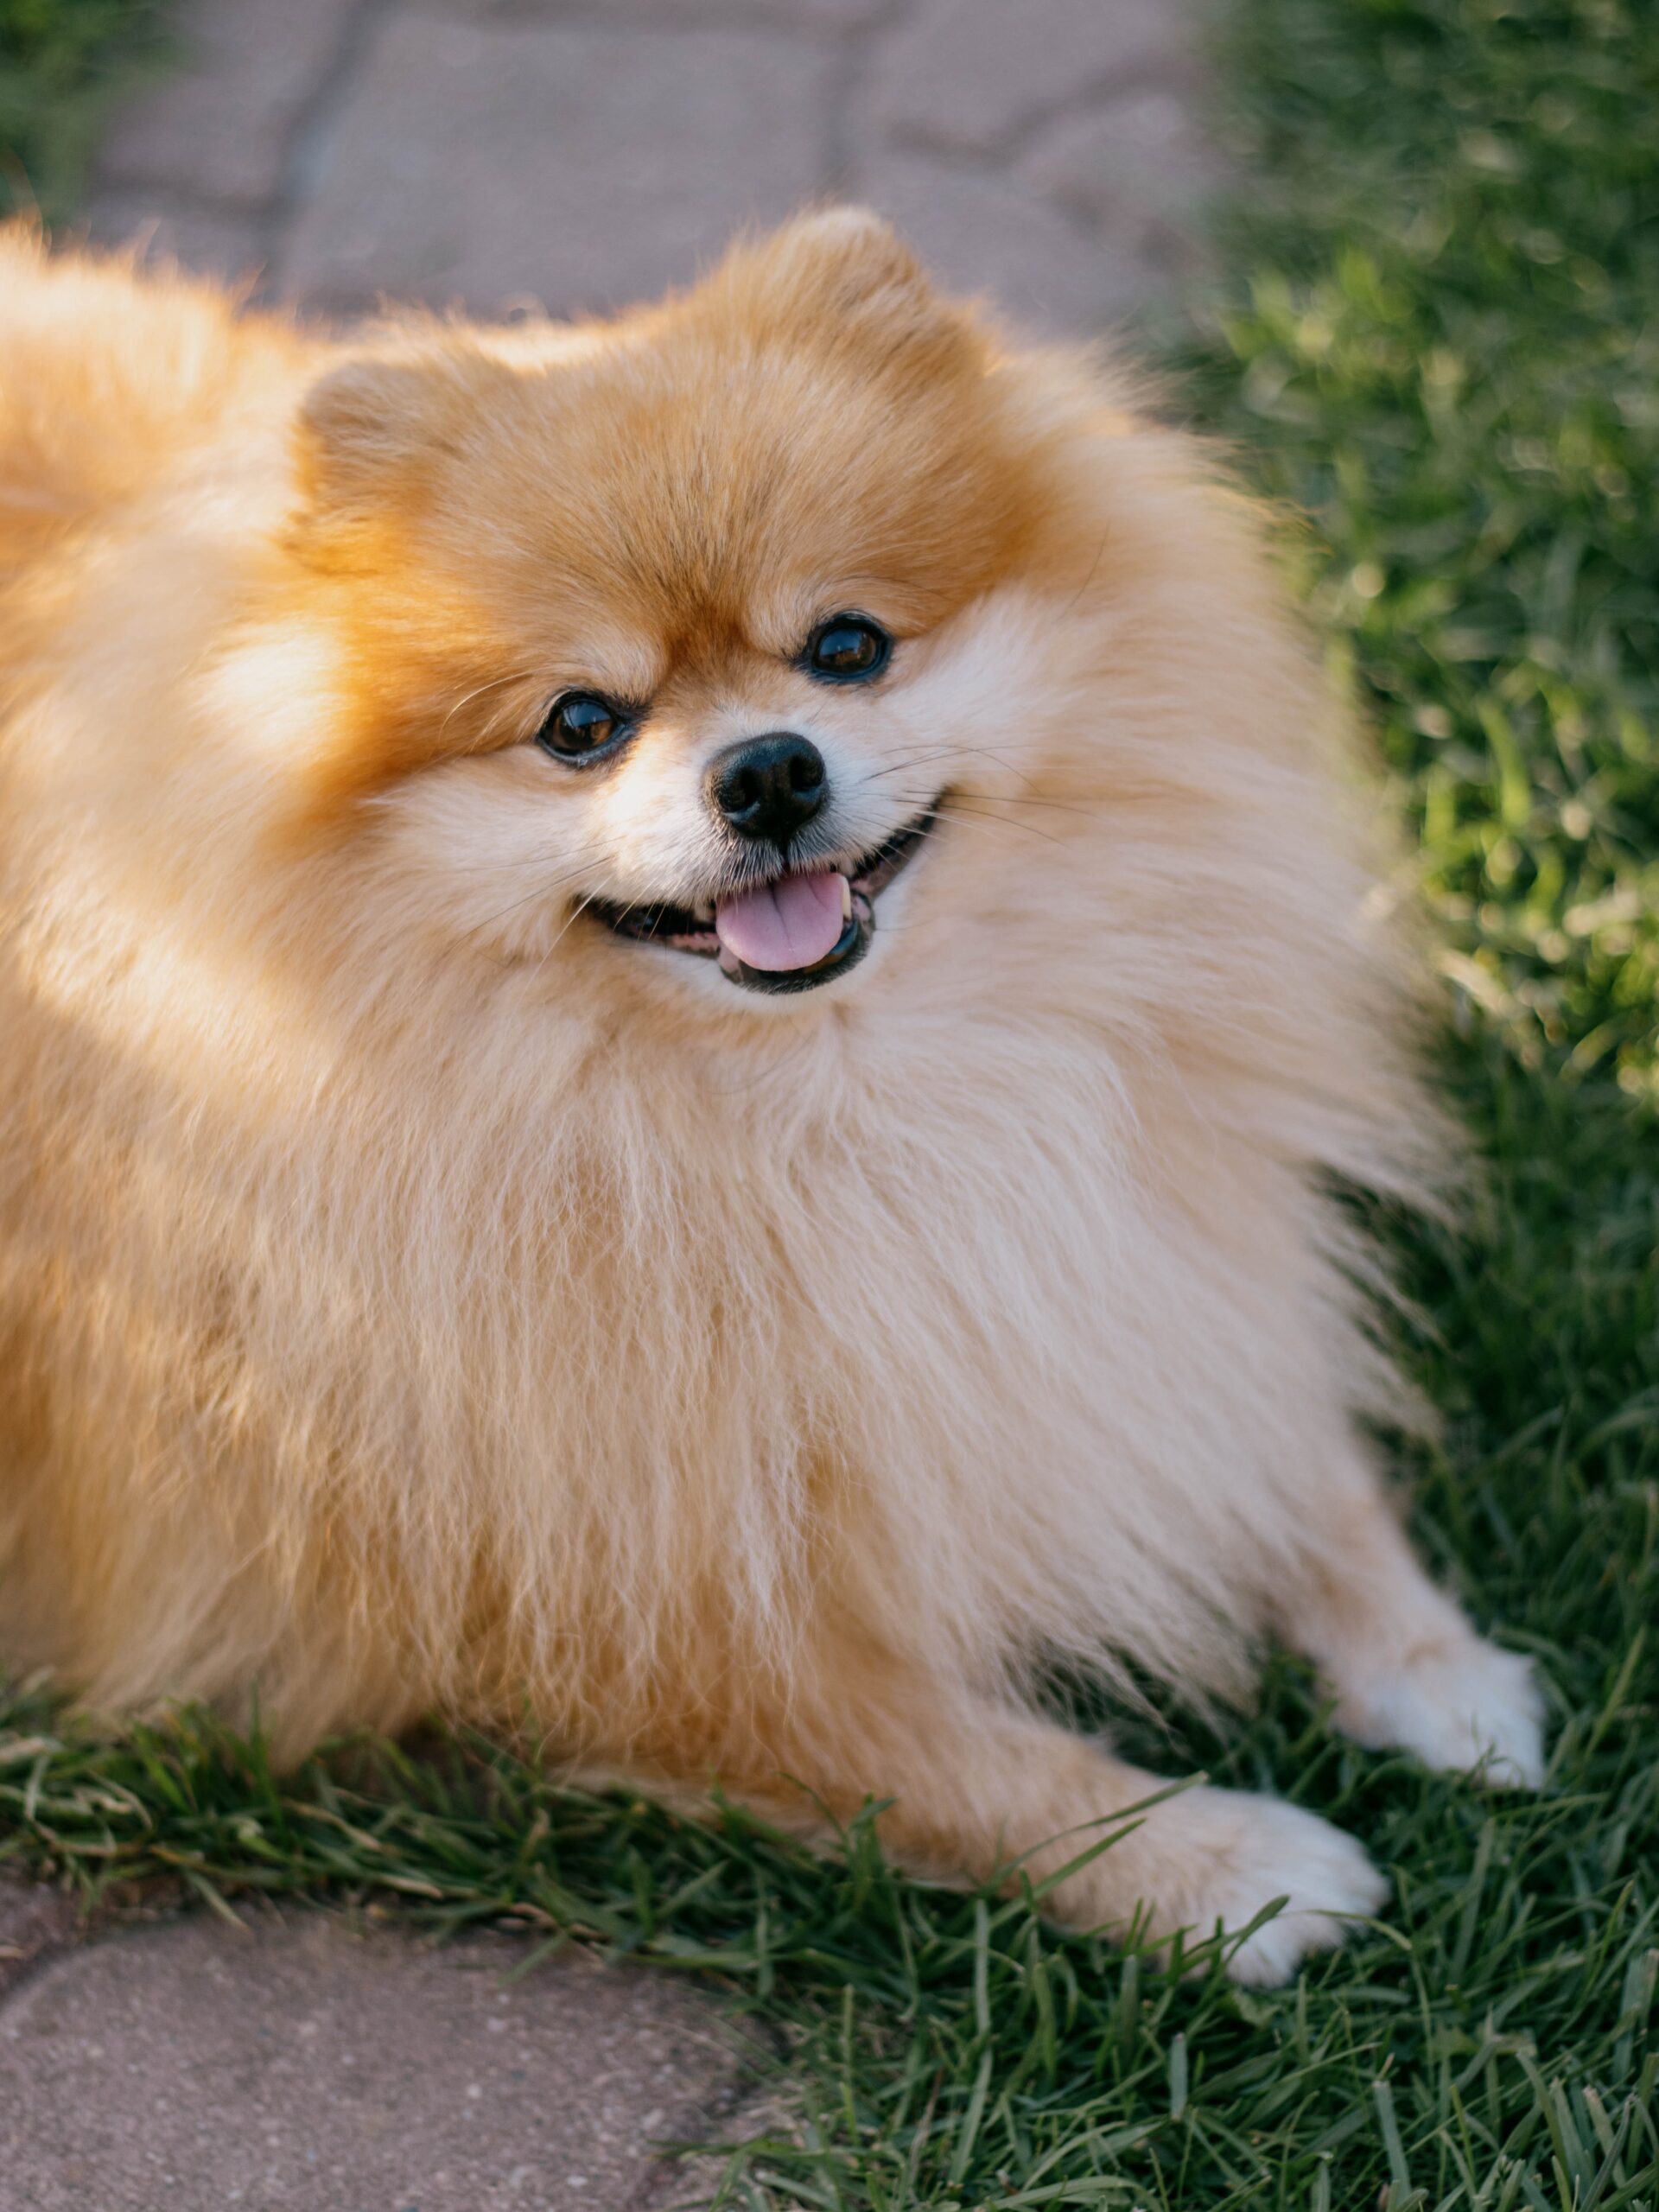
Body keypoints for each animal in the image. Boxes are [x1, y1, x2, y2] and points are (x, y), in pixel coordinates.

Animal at [0, 211, 1548, 1991]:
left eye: (849, 645)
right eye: (581, 725)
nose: (768, 769)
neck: (823, 1110)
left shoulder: (1140, 1263)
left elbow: (1286, 1442)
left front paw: (1439, 1669)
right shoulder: (578, 1598)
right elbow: (957, 1764)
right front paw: (1230, 1869)